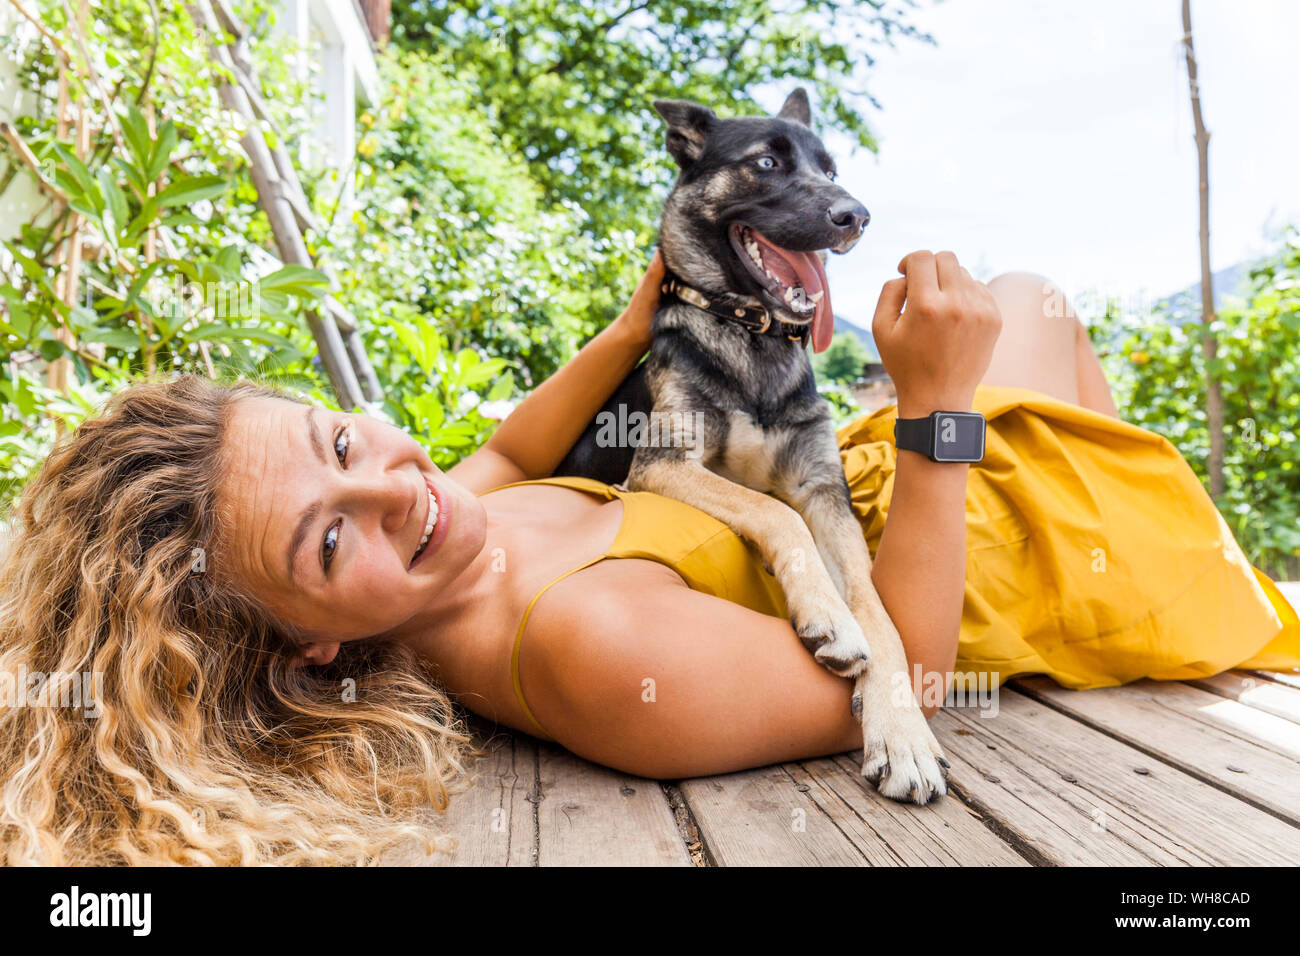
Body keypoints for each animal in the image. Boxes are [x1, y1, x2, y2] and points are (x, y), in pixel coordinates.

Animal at [556, 91, 946, 806]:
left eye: (831, 168)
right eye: (766, 162)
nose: (856, 217)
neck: (753, 336)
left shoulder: (824, 490)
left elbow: (876, 607)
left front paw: (902, 730)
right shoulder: (665, 467)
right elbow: (775, 512)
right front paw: (828, 617)